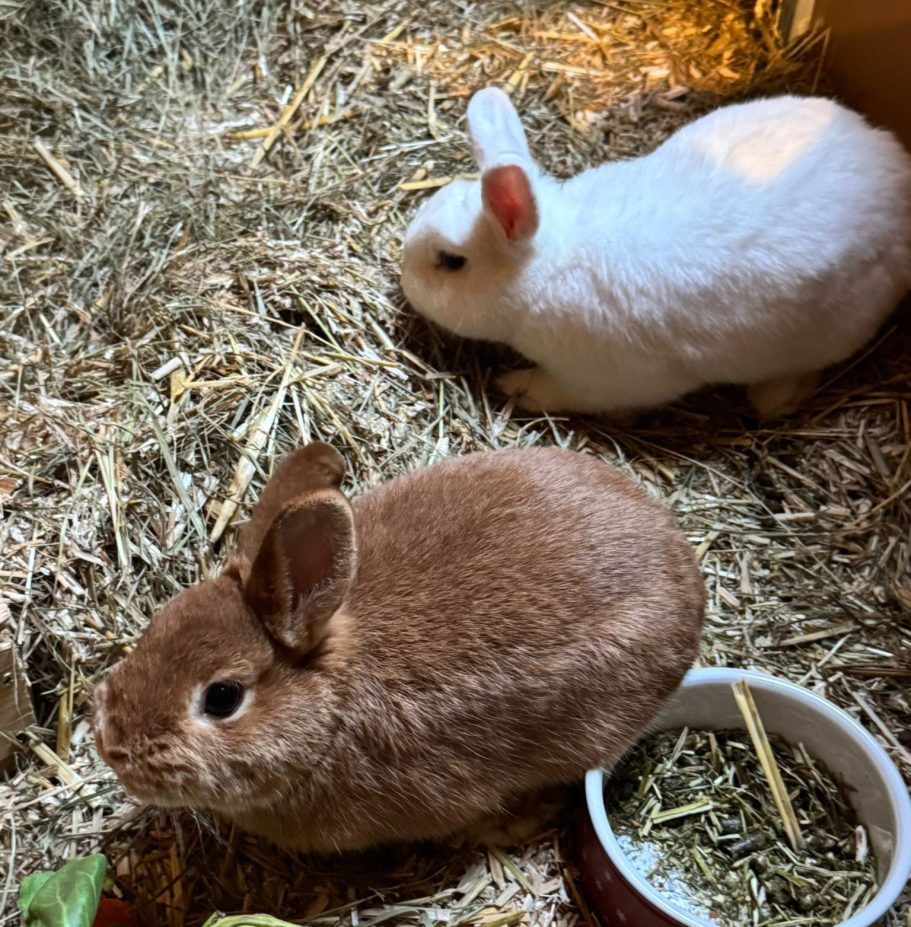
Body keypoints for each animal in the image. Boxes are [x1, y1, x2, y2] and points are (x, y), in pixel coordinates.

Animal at [401, 87, 911, 420]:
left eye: (450, 261)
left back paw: (772, 401)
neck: (550, 264)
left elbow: (555, 391)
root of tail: (898, 169)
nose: (403, 279)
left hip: (836, 328)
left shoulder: (598, 380)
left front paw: (512, 386)